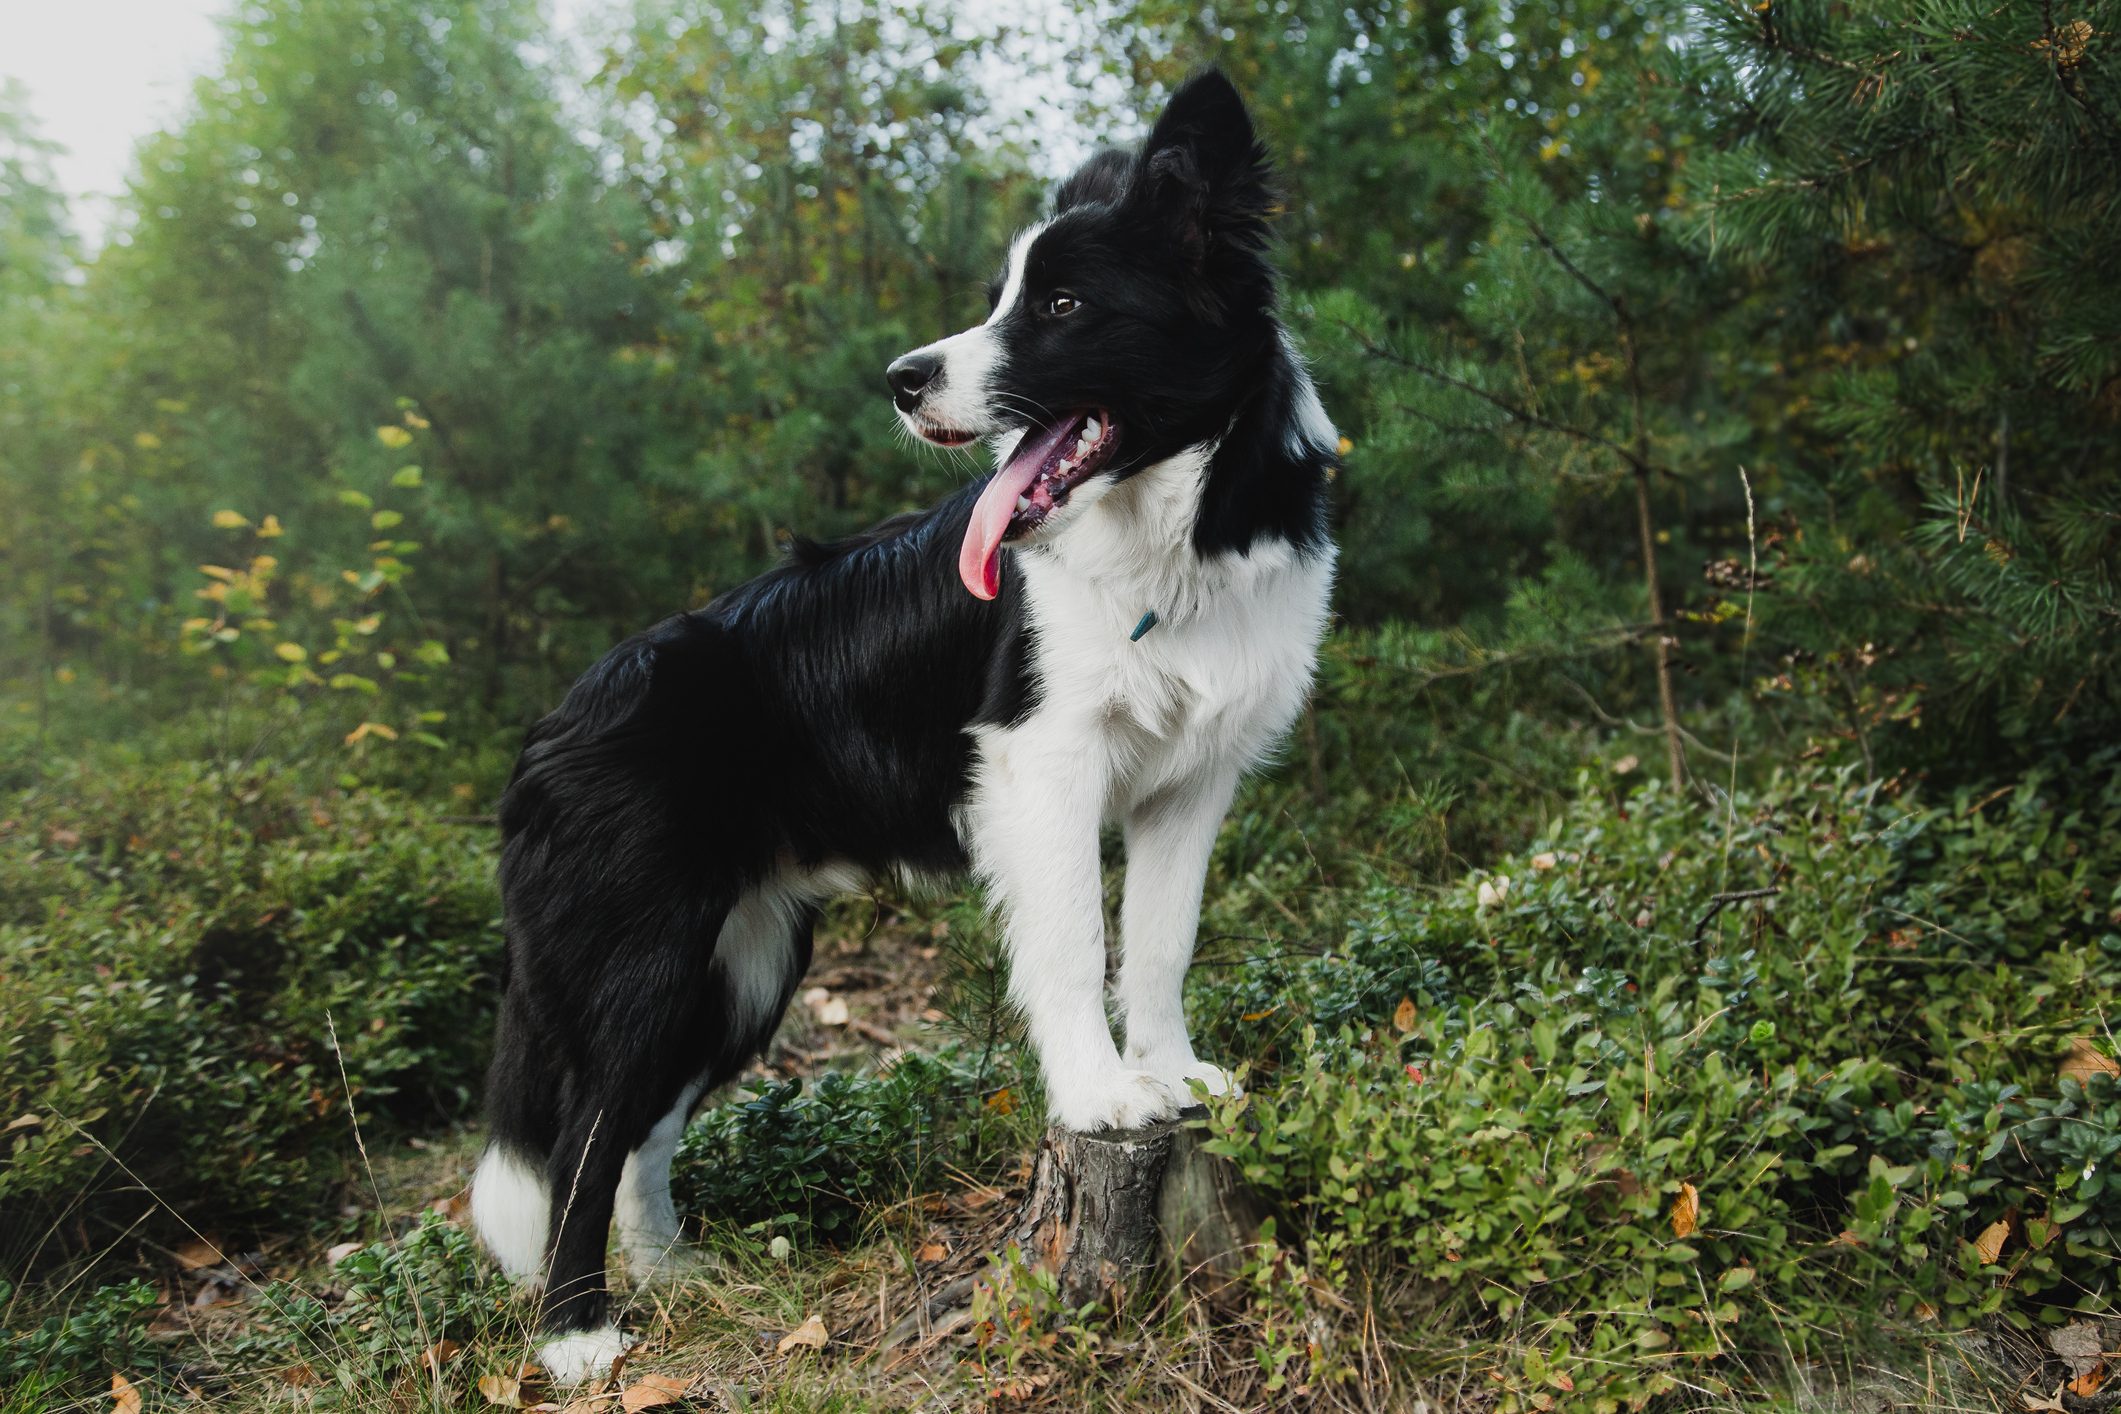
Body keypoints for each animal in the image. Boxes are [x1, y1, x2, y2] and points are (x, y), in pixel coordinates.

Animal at [472, 68, 1331, 1382]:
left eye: (1064, 303)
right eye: (1001, 299)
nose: (901, 378)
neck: (1175, 533)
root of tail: (552, 725)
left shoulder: (1194, 783)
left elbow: (1160, 943)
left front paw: (1170, 1073)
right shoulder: (1042, 764)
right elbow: (1074, 944)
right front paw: (1099, 1096)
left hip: (742, 966)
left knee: (640, 1134)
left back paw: (674, 1276)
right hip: (643, 957)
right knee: (582, 1136)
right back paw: (580, 1338)